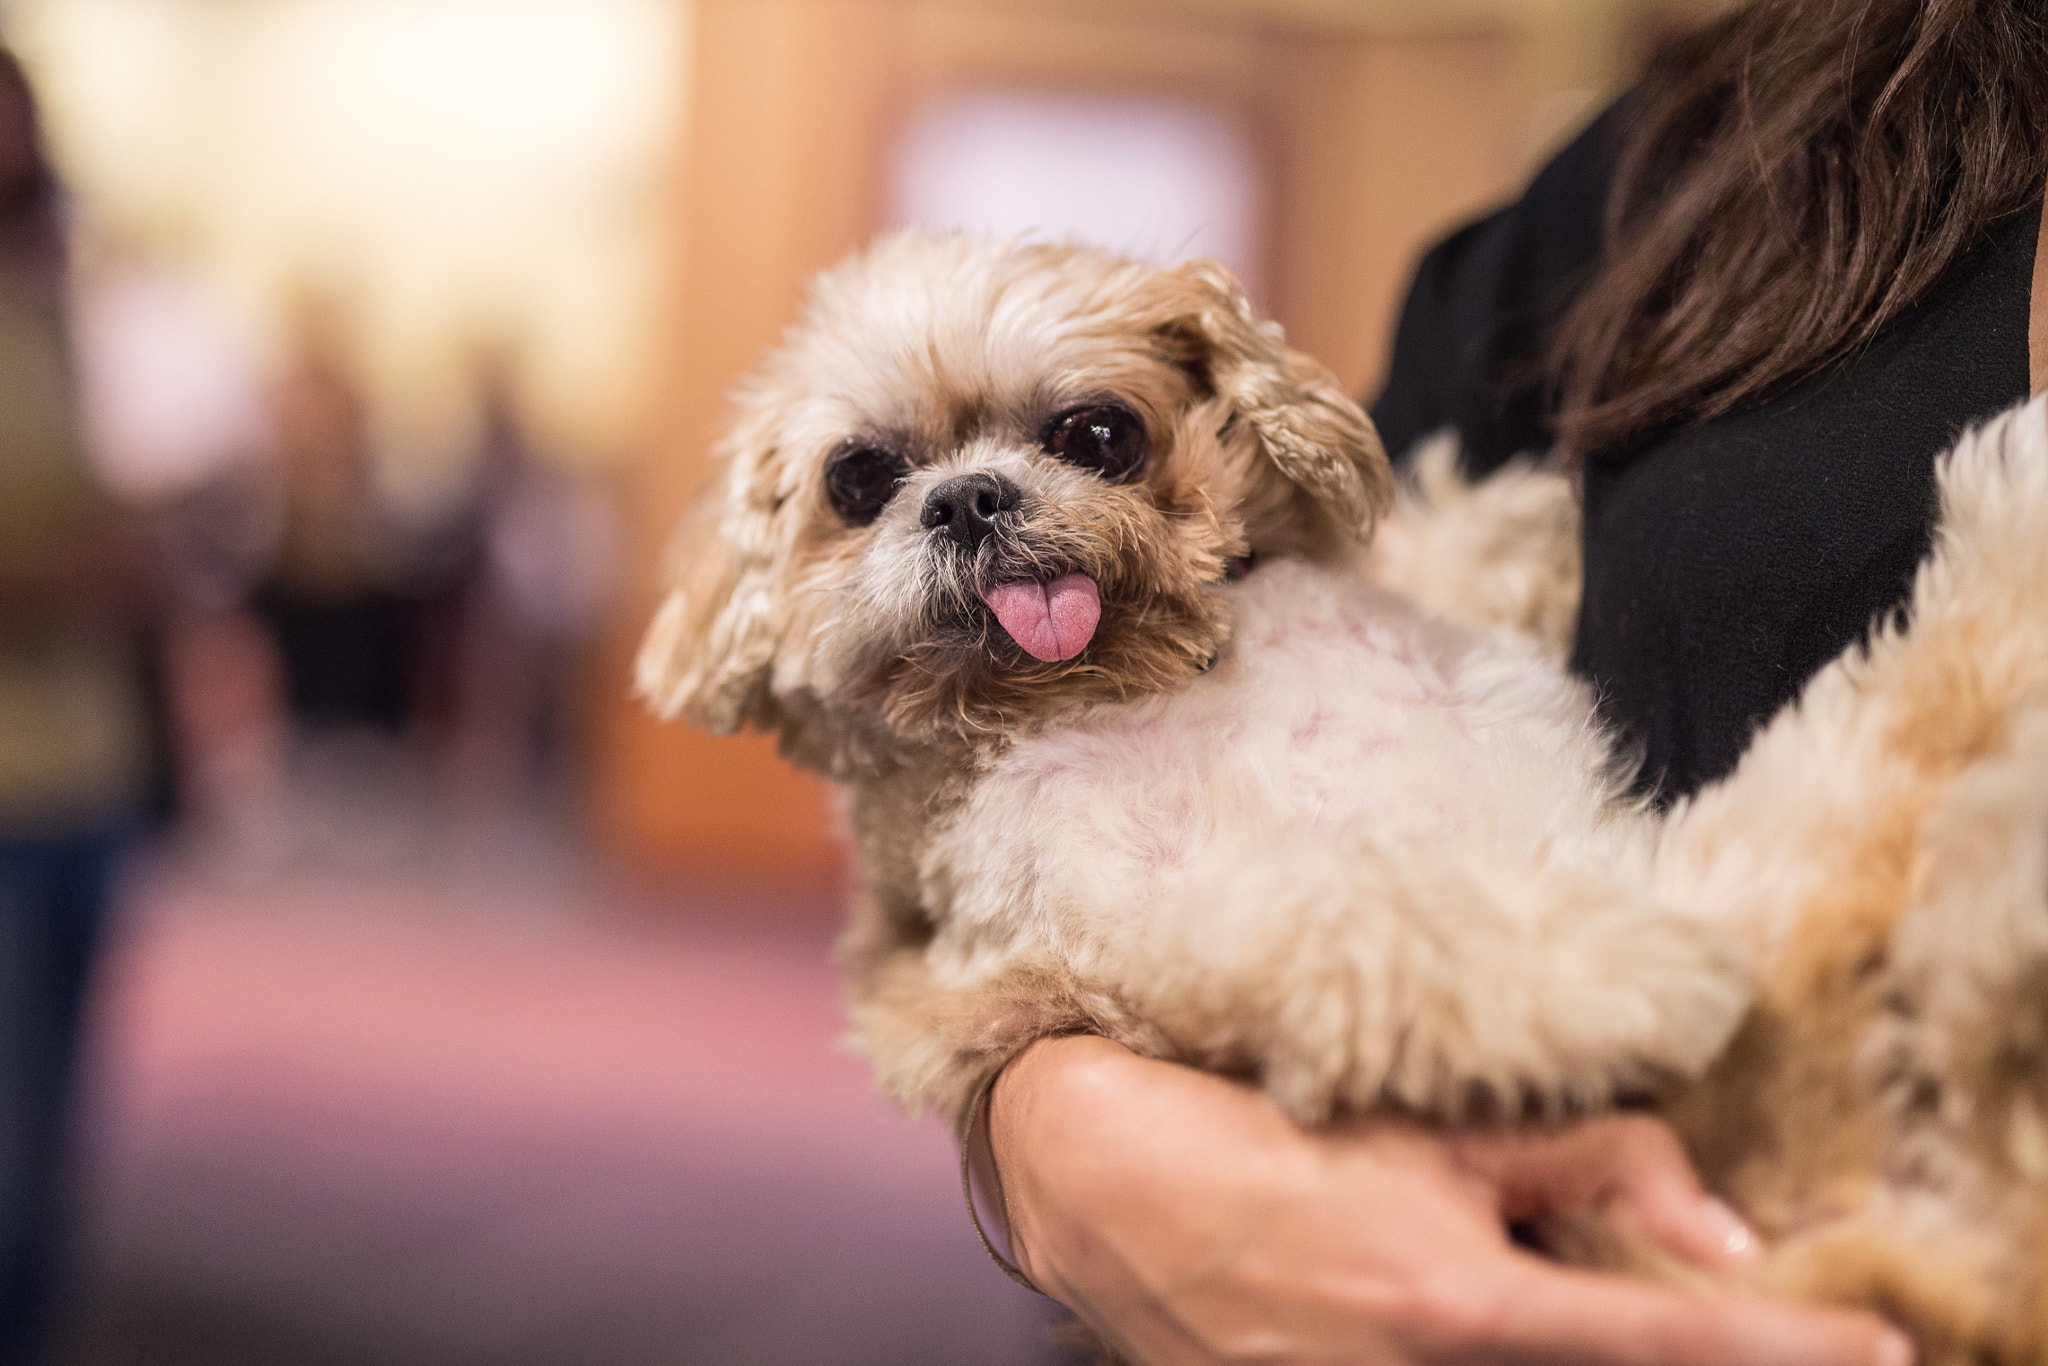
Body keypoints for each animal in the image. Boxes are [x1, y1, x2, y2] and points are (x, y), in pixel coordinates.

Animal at [647, 229, 2048, 1359]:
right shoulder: (1141, 925)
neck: (1144, 683)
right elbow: (1368, 916)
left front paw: (1518, 522)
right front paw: (1595, 971)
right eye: (857, 480)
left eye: (1098, 434)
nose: (968, 497)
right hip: (1785, 881)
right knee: (1915, 729)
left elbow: (1448, 549)